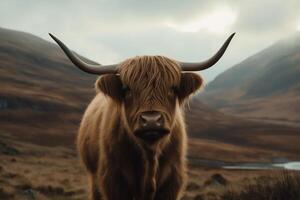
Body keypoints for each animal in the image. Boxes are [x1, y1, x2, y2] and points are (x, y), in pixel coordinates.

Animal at [49, 32, 234, 199]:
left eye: (172, 89)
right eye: (127, 90)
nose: (151, 121)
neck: (150, 154)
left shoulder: (172, 182)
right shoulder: (113, 180)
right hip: (93, 177)